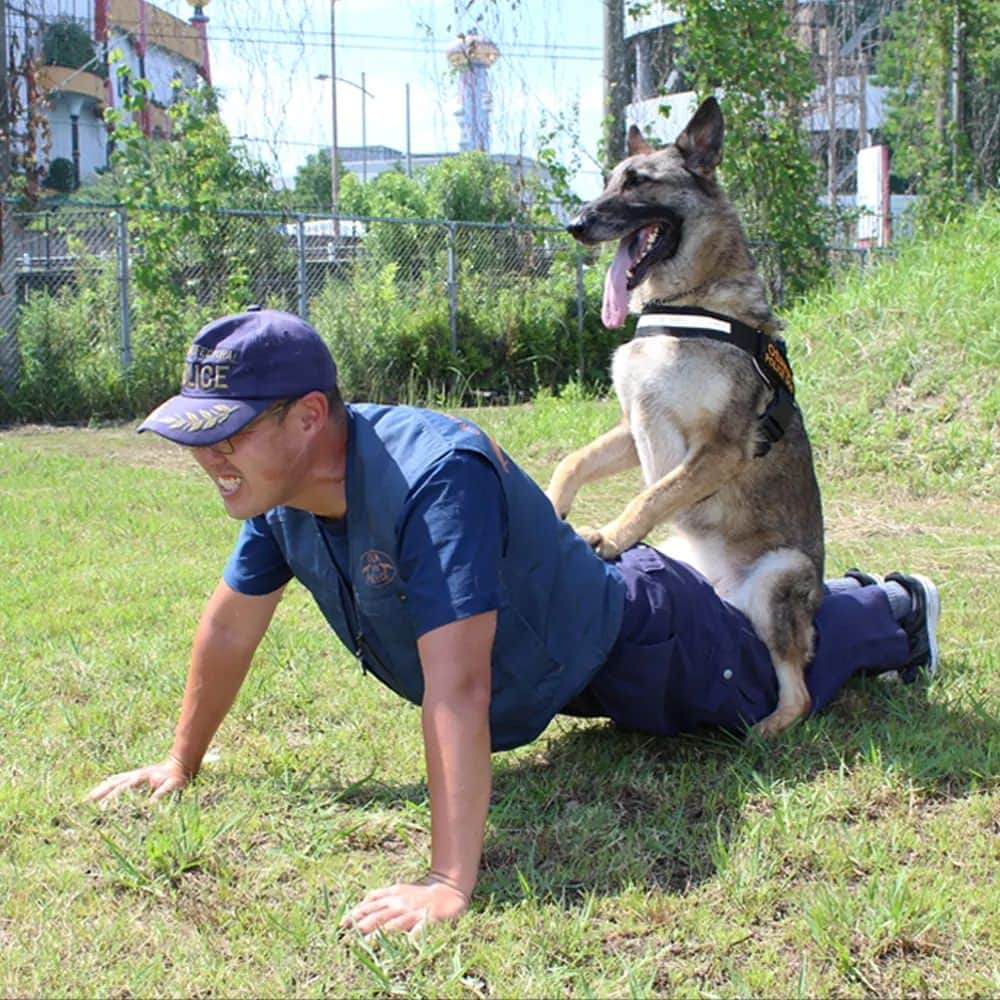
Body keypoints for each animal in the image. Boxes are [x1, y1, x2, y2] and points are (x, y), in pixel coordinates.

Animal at [552, 95, 824, 736]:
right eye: (608, 180)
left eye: (638, 182)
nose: (574, 224)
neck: (686, 304)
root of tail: (725, 590)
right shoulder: (633, 428)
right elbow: (574, 461)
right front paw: (555, 504)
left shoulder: (719, 448)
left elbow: (649, 496)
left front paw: (611, 535)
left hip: (778, 579)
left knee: (800, 695)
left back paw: (762, 730)